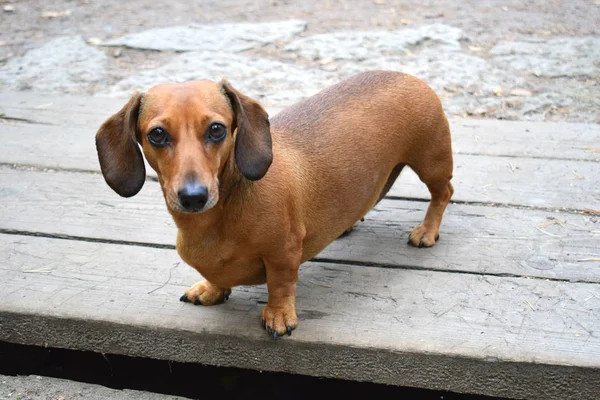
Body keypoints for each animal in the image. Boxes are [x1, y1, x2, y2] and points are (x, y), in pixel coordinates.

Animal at [96, 71, 454, 338]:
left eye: (217, 129)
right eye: (156, 134)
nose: (193, 196)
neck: (216, 217)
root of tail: (410, 76)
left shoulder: (284, 250)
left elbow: (280, 283)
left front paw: (279, 315)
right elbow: (218, 278)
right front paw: (211, 289)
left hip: (431, 162)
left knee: (444, 192)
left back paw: (427, 230)